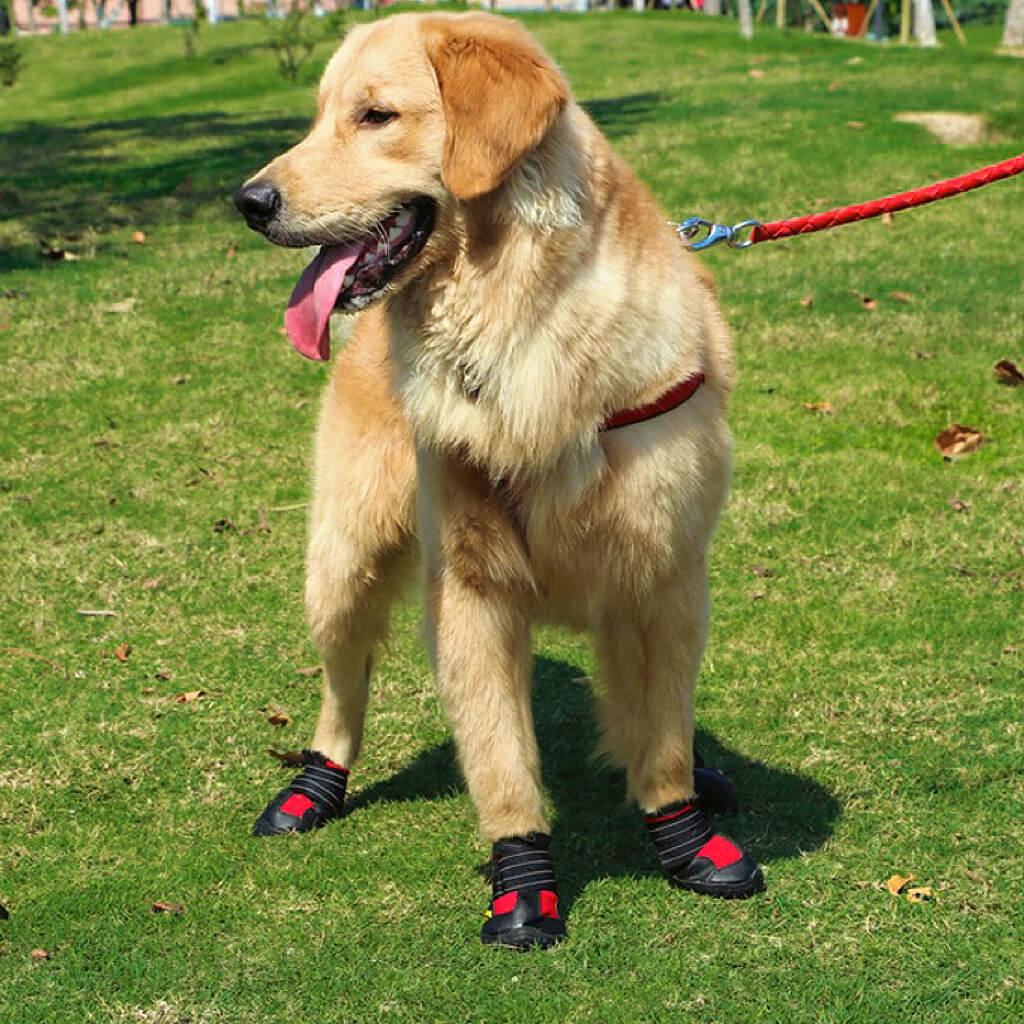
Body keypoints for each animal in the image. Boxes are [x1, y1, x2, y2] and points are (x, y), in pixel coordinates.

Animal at [232, 9, 761, 950]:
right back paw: (311, 787)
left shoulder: (662, 571)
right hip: (342, 561)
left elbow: (662, 737)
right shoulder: (473, 588)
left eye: (375, 116)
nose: (249, 202)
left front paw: (687, 838)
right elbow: (503, 761)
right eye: (322, 115)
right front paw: (523, 885)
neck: (521, 319)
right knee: (340, 694)